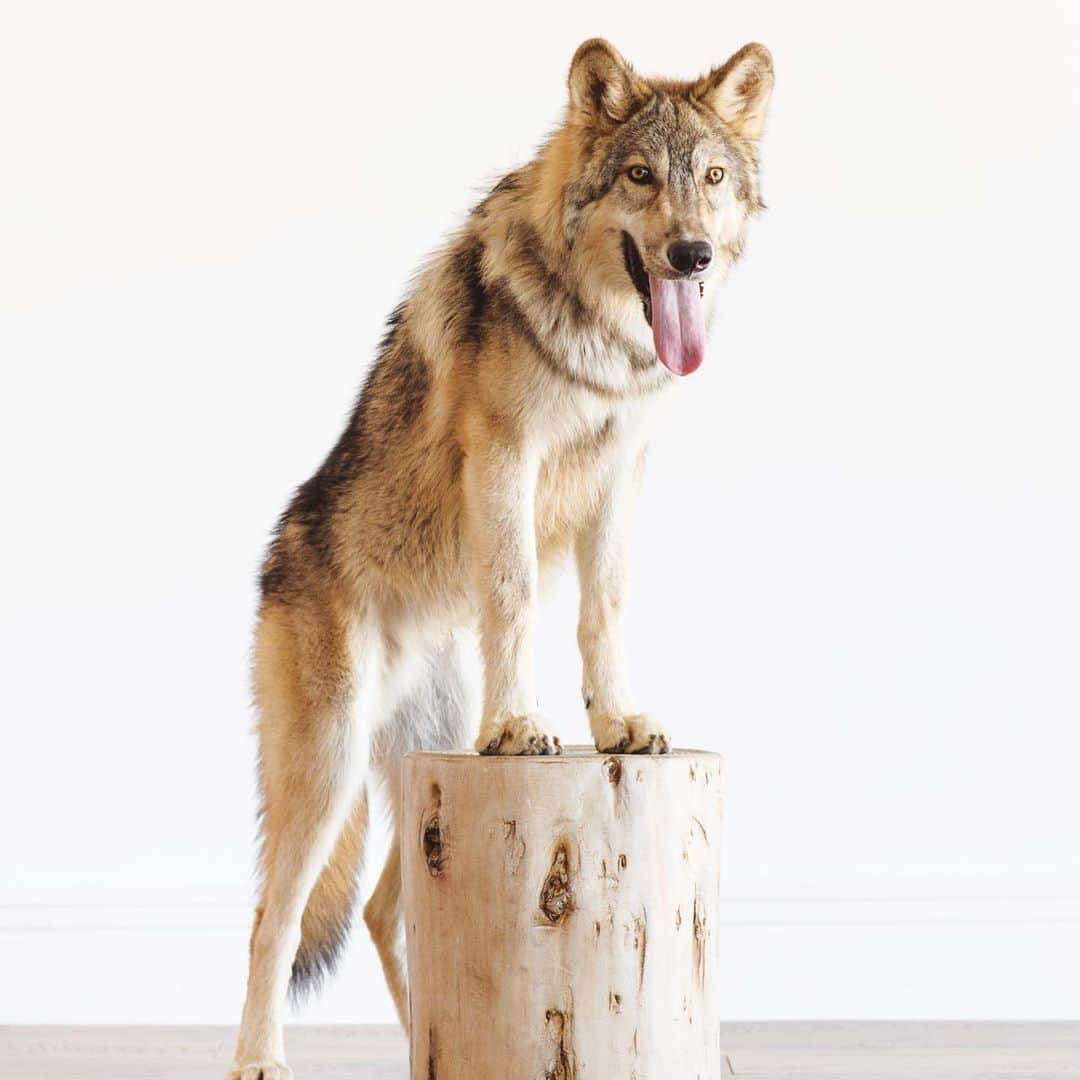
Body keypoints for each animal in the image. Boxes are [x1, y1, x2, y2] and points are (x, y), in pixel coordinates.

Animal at [227, 35, 773, 1080]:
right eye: (641, 176)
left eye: (713, 179)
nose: (690, 252)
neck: (603, 347)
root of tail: (276, 556)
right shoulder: (507, 459)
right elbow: (518, 595)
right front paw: (521, 725)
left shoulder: (619, 475)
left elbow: (601, 612)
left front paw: (616, 724)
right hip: (328, 769)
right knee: (273, 918)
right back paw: (259, 1060)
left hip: (410, 766)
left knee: (382, 910)